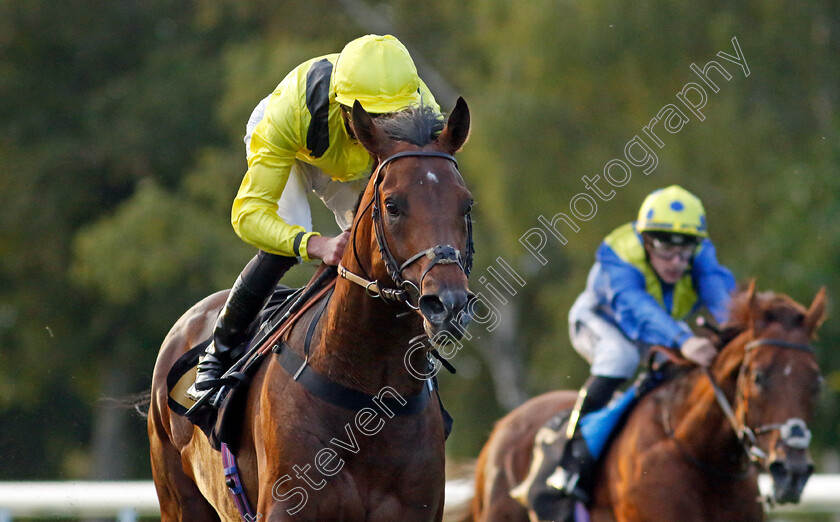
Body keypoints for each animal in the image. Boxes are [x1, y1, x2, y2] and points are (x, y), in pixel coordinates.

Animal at [148, 98, 476, 520]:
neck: (366, 392)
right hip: (179, 500)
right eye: (392, 206)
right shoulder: (287, 506)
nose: (447, 303)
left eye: (466, 204)